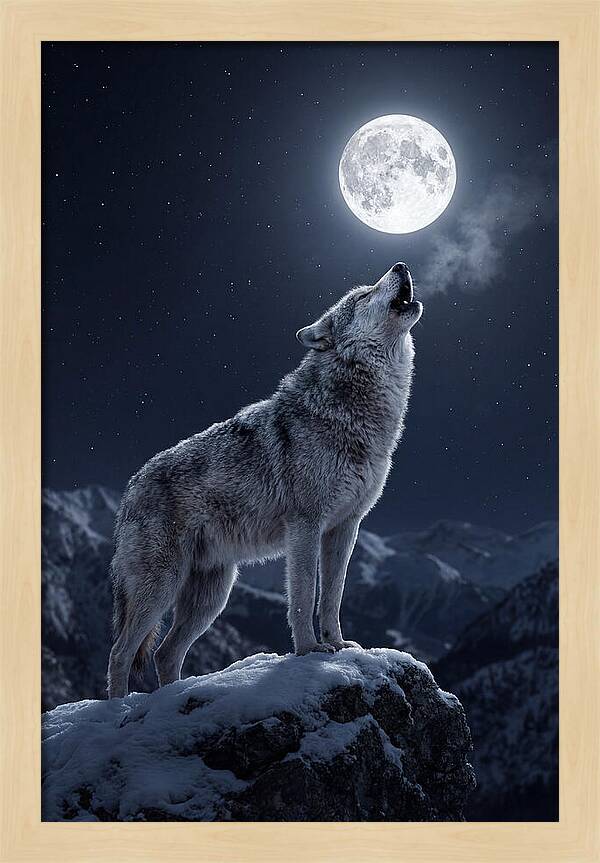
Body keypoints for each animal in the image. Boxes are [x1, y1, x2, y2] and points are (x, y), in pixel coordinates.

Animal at [107, 262, 423, 697]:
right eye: (362, 295)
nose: (401, 266)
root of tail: (130, 487)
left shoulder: (345, 527)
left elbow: (333, 596)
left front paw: (338, 644)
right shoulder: (305, 526)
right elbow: (304, 595)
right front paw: (309, 650)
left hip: (212, 596)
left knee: (164, 653)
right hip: (160, 588)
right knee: (120, 652)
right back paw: (117, 708)